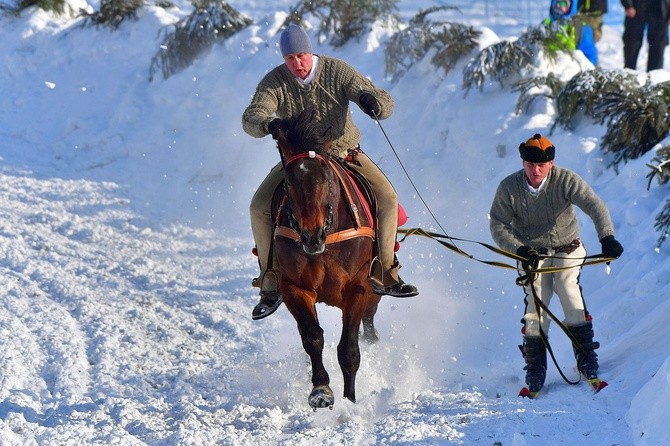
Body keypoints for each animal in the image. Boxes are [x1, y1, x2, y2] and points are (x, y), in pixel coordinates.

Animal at [270, 106, 380, 410]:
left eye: (326, 177)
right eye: (290, 181)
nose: (312, 236)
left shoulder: (358, 286)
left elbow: (349, 350)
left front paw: (350, 401)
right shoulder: (294, 288)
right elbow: (313, 337)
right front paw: (321, 390)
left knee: (369, 325)